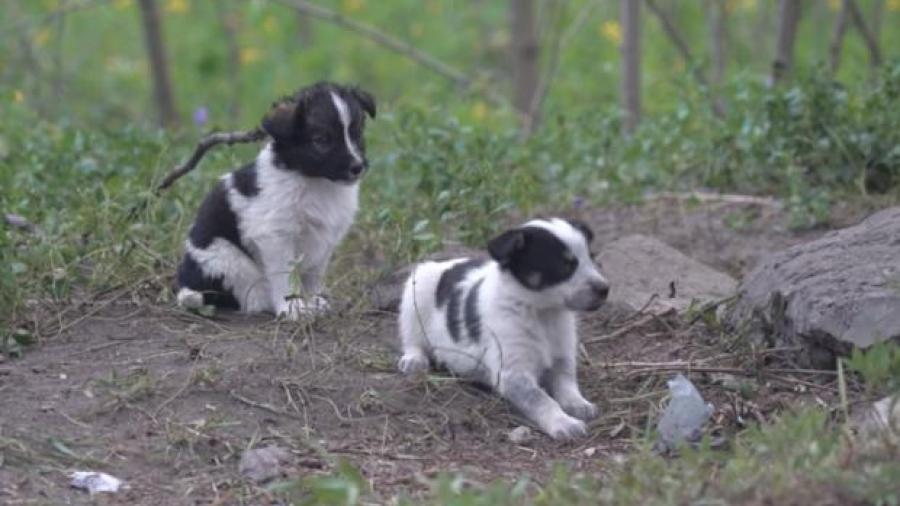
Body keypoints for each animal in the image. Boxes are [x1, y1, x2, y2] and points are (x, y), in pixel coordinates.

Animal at [178, 82, 374, 320]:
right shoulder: (275, 235)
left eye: (357, 134)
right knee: (248, 294)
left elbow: (312, 275)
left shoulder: (324, 239)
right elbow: (284, 276)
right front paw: (292, 306)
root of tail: (186, 283)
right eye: (321, 140)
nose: (357, 167)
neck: (312, 179)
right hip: (225, 260)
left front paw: (312, 302)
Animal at [398, 217, 608, 438]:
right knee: (412, 340)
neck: (542, 313)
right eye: (565, 265)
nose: (605, 289)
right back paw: (414, 359)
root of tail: (445, 263)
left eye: (591, 257)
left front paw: (578, 404)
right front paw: (564, 422)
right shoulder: (513, 374)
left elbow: (567, 385)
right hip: (416, 293)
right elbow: (542, 400)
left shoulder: (562, 357)